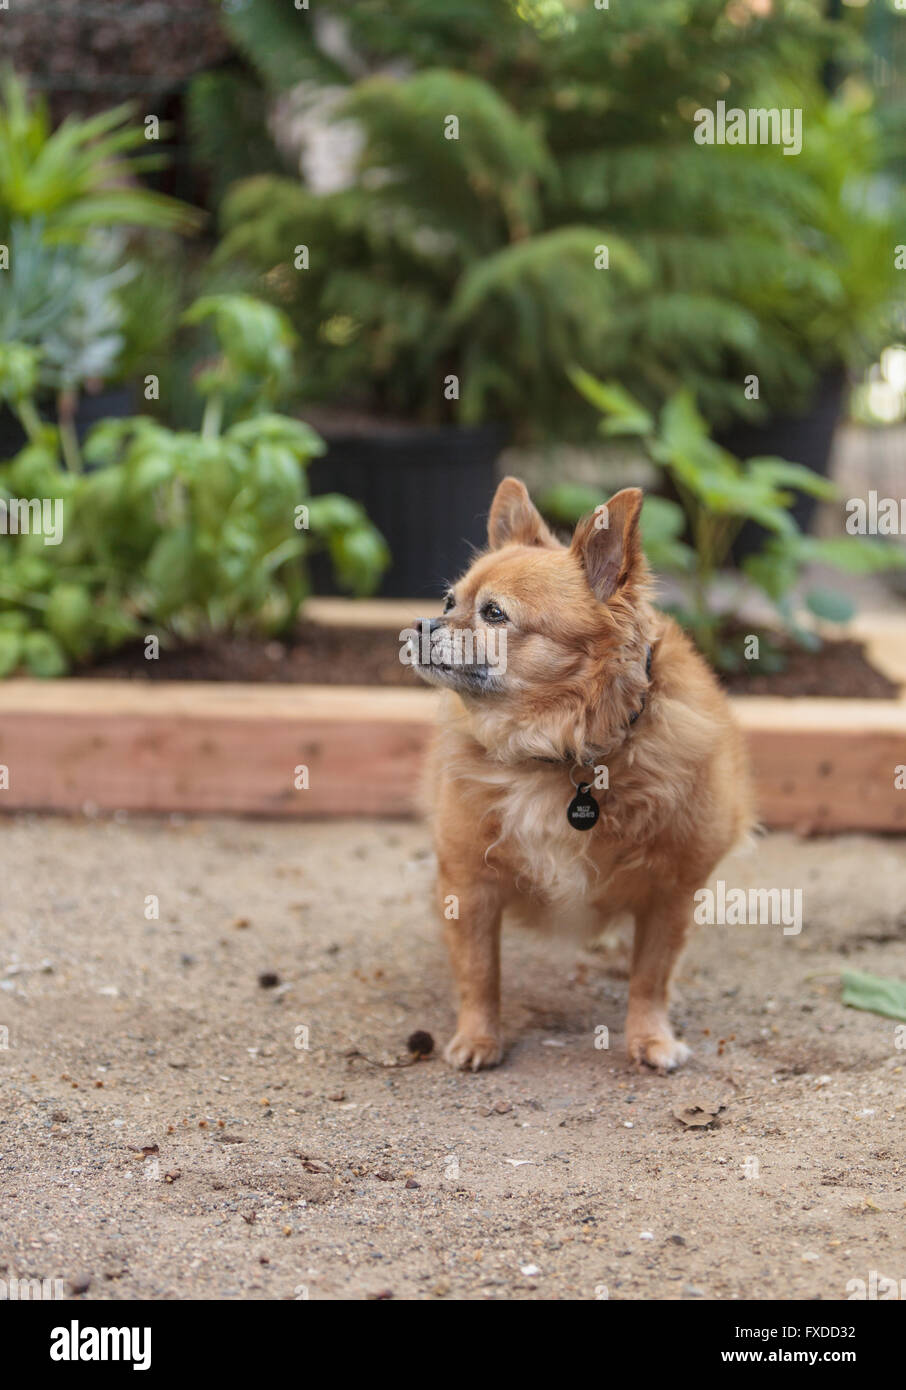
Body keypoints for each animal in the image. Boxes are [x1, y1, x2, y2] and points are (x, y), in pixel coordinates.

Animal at [414, 478, 755, 1073]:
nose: (422, 624)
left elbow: (651, 976)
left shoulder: (671, 892)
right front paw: (479, 1037)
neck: (557, 753)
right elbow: (479, 971)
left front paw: (649, 1037)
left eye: (494, 614)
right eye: (448, 602)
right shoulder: (468, 884)